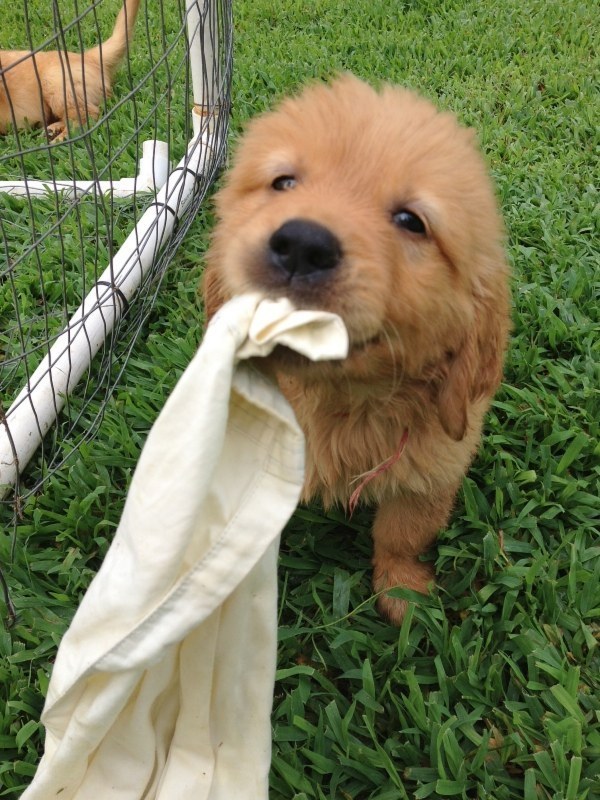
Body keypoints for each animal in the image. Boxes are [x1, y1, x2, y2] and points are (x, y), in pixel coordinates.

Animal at [203, 76, 510, 624]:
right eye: (283, 183)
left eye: (411, 220)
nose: (303, 244)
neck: (340, 403)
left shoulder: (432, 470)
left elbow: (401, 535)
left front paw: (403, 594)